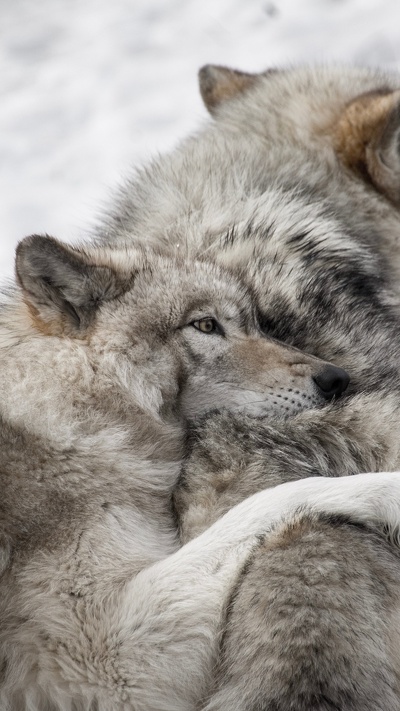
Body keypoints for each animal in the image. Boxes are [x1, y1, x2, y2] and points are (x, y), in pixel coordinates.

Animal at [2, 235, 394, 711]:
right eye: (206, 325)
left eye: (257, 324)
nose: (337, 378)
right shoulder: (100, 658)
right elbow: (270, 500)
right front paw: (389, 490)